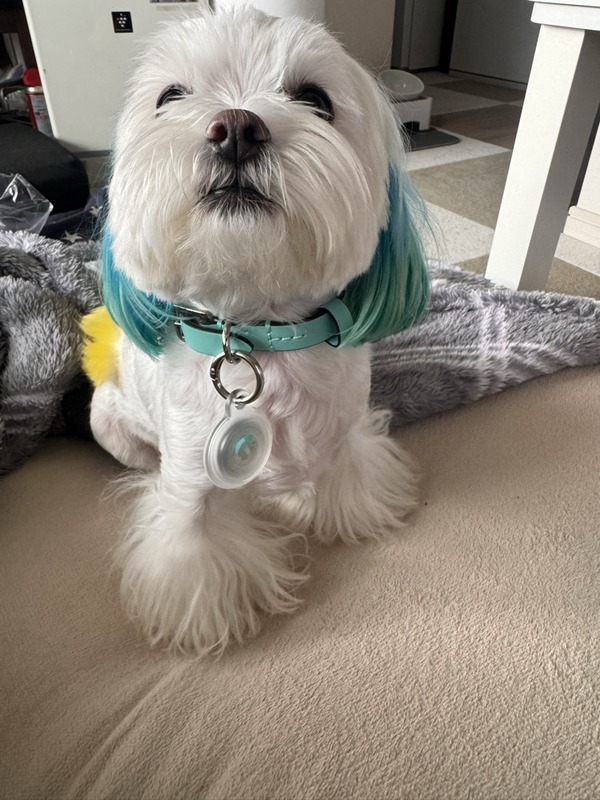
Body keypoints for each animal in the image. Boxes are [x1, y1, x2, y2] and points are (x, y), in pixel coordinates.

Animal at [82, 3, 429, 656]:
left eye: (316, 98)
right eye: (170, 96)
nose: (236, 126)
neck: (262, 335)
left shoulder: (348, 431)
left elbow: (341, 473)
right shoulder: (191, 479)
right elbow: (194, 551)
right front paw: (208, 624)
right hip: (112, 429)